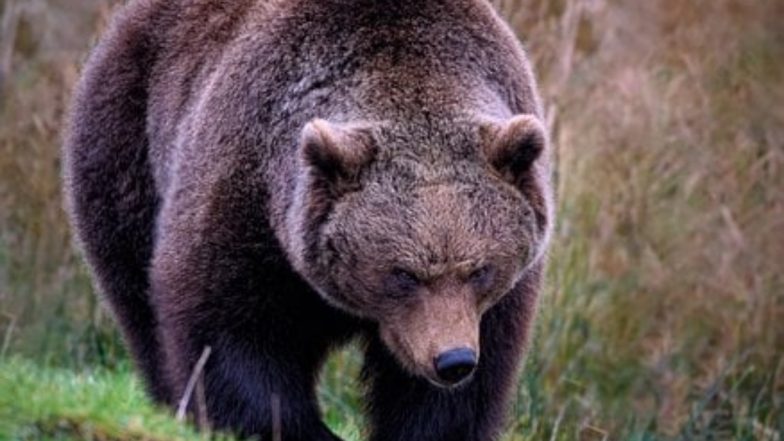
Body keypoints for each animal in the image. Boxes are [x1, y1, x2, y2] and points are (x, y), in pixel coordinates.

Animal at [62, 0, 552, 438]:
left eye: (480, 270)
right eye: (403, 274)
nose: (452, 360)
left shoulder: (495, 302)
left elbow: (457, 394)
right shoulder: (248, 198)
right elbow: (228, 331)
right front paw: (295, 428)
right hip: (125, 146)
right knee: (138, 302)